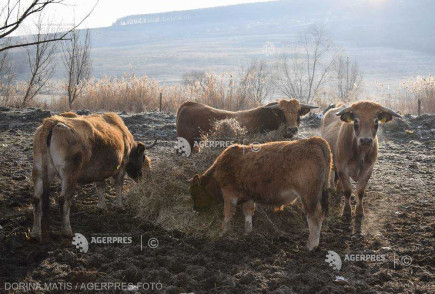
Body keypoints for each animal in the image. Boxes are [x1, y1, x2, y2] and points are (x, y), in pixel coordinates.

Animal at [31, 111, 157, 240]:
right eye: (143, 158)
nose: (144, 178)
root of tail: (52, 122)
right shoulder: (122, 166)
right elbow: (118, 185)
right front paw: (120, 206)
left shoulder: (98, 171)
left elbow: (100, 186)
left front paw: (102, 207)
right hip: (70, 175)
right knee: (63, 200)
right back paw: (67, 231)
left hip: (39, 172)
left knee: (37, 199)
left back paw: (35, 233)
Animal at [188, 137, 334, 250]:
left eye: (194, 193)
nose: (194, 209)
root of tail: (312, 140)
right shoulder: (247, 196)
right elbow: (248, 212)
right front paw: (247, 232)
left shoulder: (229, 195)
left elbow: (227, 214)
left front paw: (223, 231)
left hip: (309, 195)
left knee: (314, 216)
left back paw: (311, 245)